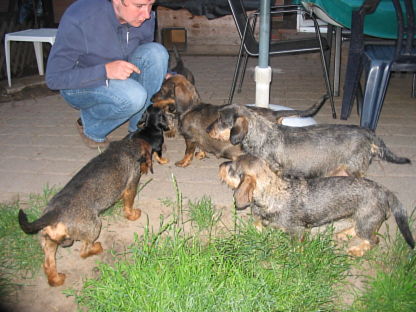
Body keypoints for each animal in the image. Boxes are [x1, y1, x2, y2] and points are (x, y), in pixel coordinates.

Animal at [151, 74, 326, 167]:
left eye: (163, 90)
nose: (151, 99)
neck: (191, 108)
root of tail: (273, 113)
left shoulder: (189, 138)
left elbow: (188, 152)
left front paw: (183, 162)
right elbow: (201, 147)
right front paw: (201, 154)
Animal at [219, 155, 414, 256]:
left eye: (231, 168)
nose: (221, 164)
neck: (275, 192)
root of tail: (385, 191)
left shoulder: (297, 232)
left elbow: (295, 246)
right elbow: (258, 225)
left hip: (366, 224)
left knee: (374, 240)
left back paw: (357, 250)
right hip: (360, 219)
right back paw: (344, 234)